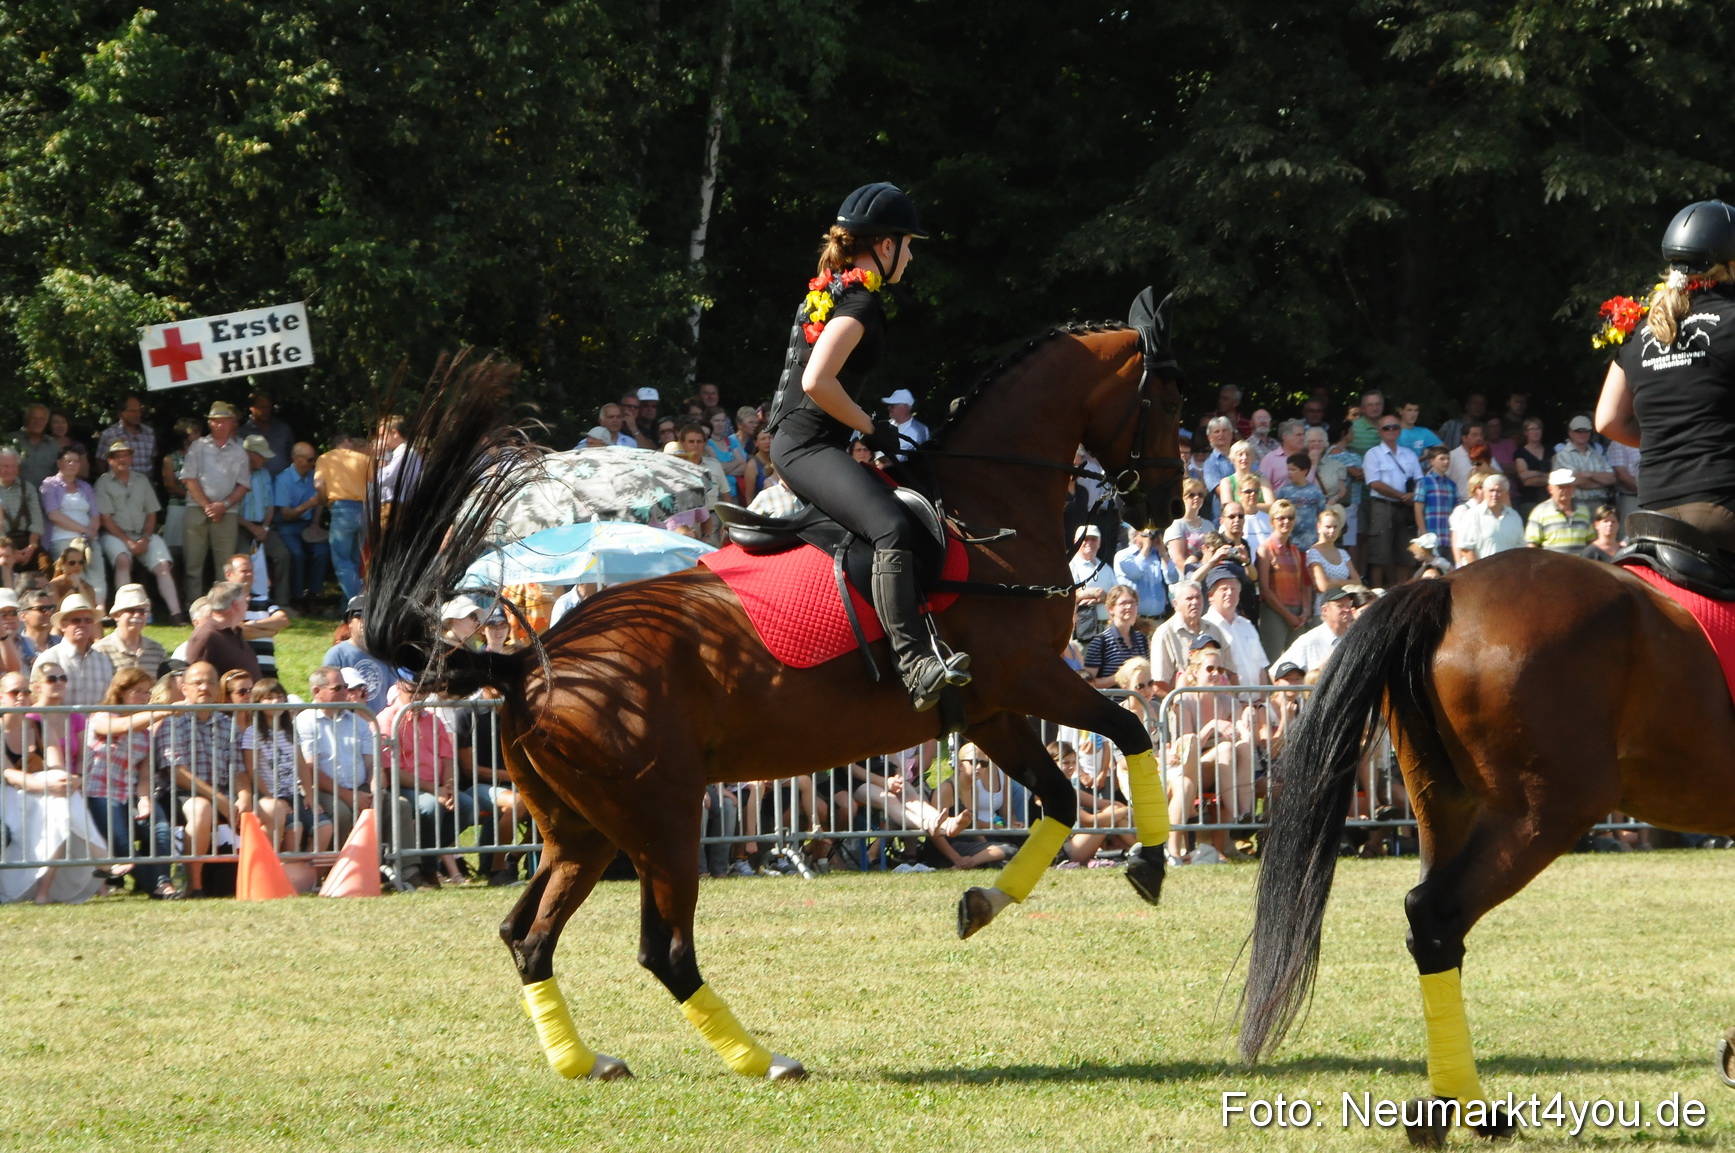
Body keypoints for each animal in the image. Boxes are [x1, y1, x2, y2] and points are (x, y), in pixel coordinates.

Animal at [362, 297, 1184, 1083]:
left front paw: (984, 901)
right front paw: (1147, 862)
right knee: (663, 952)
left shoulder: (991, 708)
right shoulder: (1032, 678)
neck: (988, 511)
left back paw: (584, 1061)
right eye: (1170, 400)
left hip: (585, 830)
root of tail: (528, 664)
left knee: (526, 936)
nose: (1168, 503)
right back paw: (763, 1061)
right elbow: (1131, 731)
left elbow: (1060, 796)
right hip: (663, 820)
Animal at [1237, 547, 1735, 1145]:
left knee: (1432, 926)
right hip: (1545, 811)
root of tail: (1446, 587)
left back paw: (1449, 1105)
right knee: (1436, 912)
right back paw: (1468, 1108)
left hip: (1443, 803)